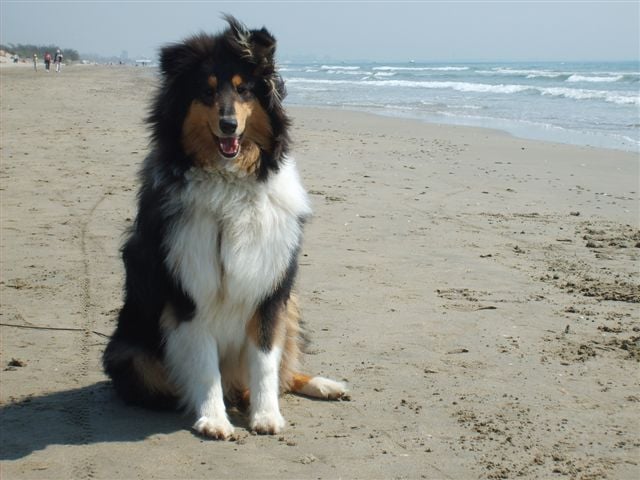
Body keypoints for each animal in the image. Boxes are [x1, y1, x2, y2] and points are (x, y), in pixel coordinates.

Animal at [102, 15, 348, 438]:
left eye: (243, 89)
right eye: (205, 91)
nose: (228, 125)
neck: (230, 181)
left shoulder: (270, 292)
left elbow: (265, 362)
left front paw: (267, 416)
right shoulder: (190, 293)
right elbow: (204, 366)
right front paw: (214, 420)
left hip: (291, 305)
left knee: (285, 373)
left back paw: (323, 385)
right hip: (128, 352)